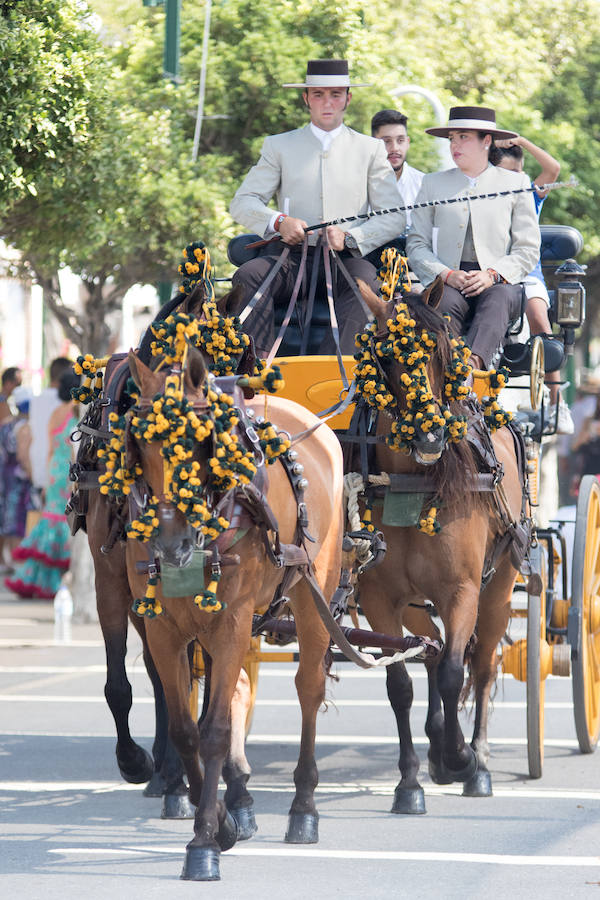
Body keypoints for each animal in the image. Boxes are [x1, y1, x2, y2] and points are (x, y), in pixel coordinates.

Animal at [122, 348, 344, 884]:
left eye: (201, 444)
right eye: (141, 444)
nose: (171, 543)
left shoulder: (230, 622)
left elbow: (217, 731)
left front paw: (203, 842)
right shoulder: (162, 629)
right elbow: (186, 730)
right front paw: (222, 823)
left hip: (314, 589)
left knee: (309, 687)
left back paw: (304, 808)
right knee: (243, 685)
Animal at [354, 278, 528, 812]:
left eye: (438, 350)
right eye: (385, 357)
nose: (431, 436)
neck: (413, 482)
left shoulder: (462, 589)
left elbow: (455, 672)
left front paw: (461, 759)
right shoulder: (379, 598)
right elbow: (400, 685)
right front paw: (410, 782)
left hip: (500, 586)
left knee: (484, 662)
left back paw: (479, 761)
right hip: (415, 602)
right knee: (429, 648)